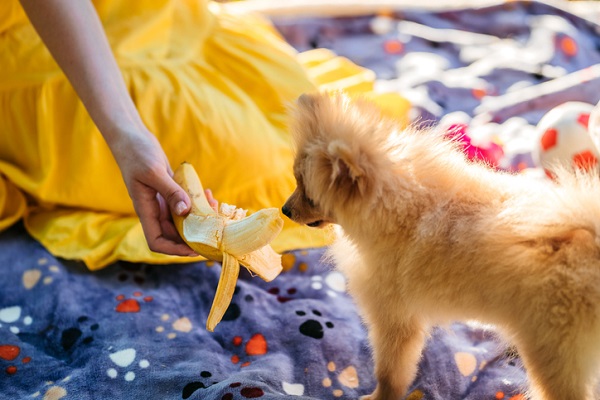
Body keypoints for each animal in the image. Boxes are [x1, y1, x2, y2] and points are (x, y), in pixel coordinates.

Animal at [282, 92, 600, 400]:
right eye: (295, 180)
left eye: (309, 195)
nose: (285, 210)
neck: (403, 205)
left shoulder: (394, 318)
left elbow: (390, 374)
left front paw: (378, 397)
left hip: (552, 351)